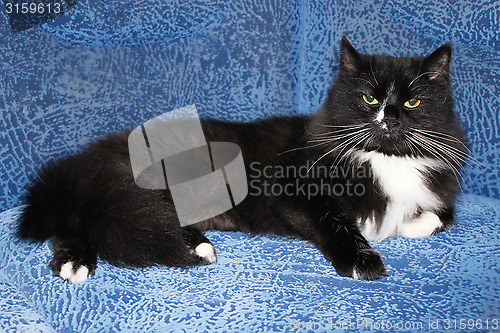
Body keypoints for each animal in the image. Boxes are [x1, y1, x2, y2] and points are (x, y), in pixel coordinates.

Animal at [17, 38, 466, 282]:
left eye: (413, 102)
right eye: (369, 98)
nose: (389, 118)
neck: (382, 158)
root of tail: (84, 159)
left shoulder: (437, 191)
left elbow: (440, 216)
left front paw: (403, 226)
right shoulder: (294, 193)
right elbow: (338, 221)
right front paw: (363, 260)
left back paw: (198, 246)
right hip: (129, 189)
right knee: (83, 217)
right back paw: (75, 262)